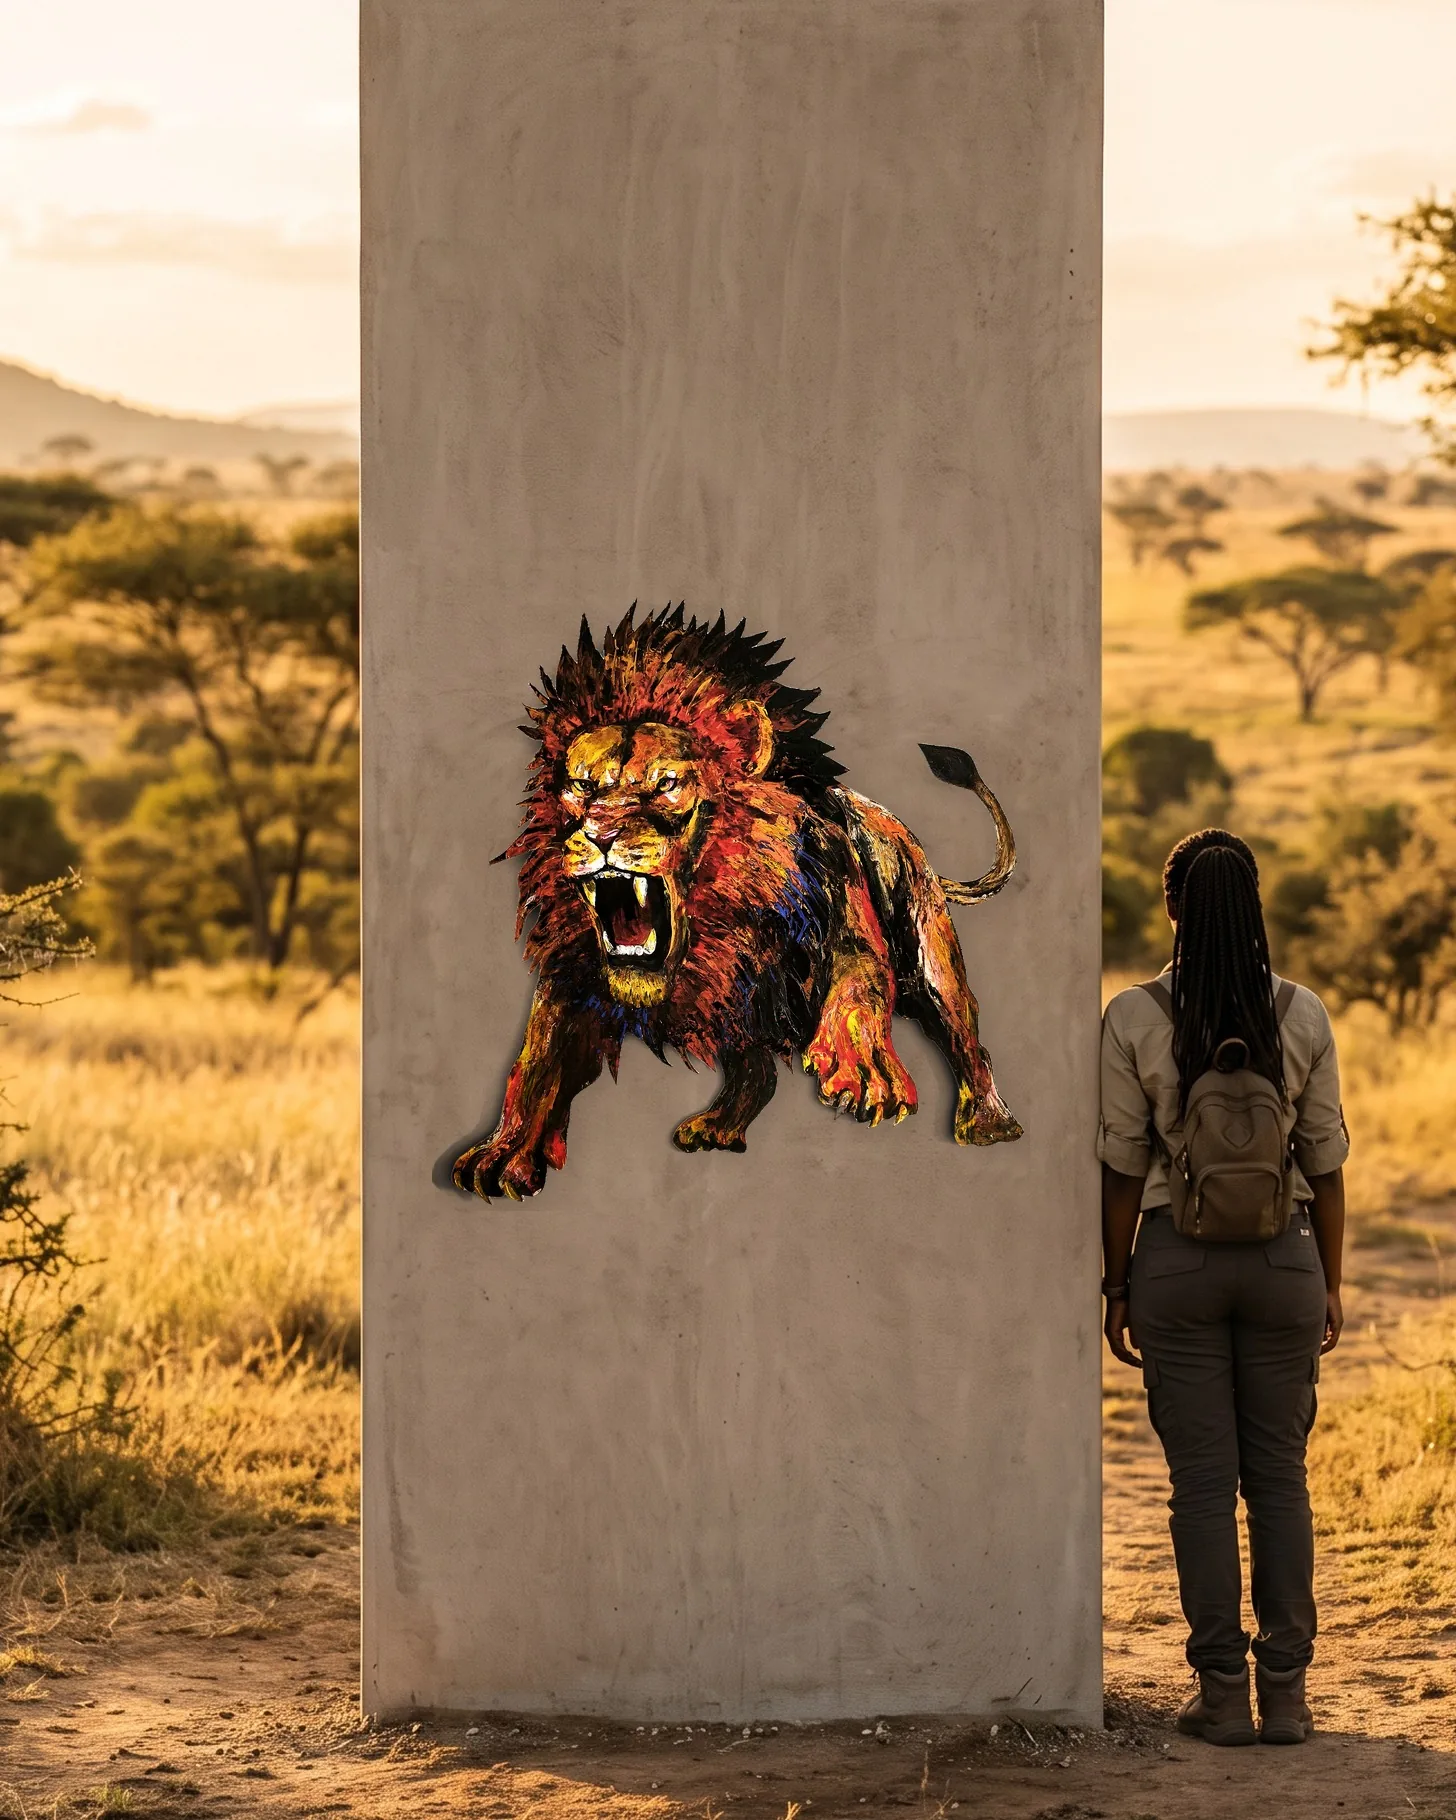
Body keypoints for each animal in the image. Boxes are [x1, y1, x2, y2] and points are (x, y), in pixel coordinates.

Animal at [451, 605, 1022, 1201]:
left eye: (667, 784)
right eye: (582, 787)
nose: (601, 833)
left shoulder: (839, 910)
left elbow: (859, 980)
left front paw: (864, 1071)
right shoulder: (576, 968)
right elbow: (539, 1059)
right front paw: (504, 1153)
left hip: (934, 966)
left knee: (966, 1036)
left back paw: (988, 1124)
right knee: (758, 1070)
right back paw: (720, 1127)